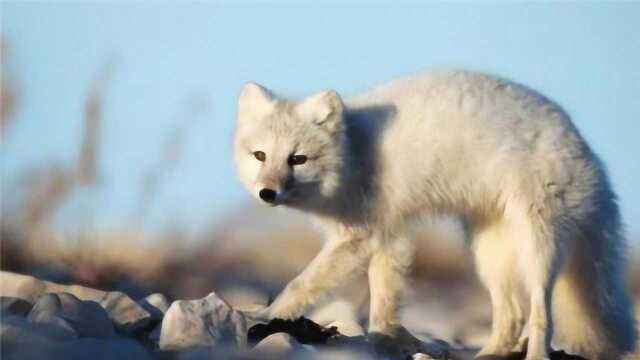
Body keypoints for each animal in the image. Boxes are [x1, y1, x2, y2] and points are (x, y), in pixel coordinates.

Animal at [232, 70, 636, 360]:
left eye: (297, 159)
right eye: (260, 156)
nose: (267, 193)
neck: (354, 152)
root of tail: (583, 146)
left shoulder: (361, 236)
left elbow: (300, 284)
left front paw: (264, 317)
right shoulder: (388, 235)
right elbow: (384, 297)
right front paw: (388, 339)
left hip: (537, 247)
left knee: (540, 315)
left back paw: (535, 355)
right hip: (489, 254)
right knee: (511, 315)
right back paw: (488, 354)